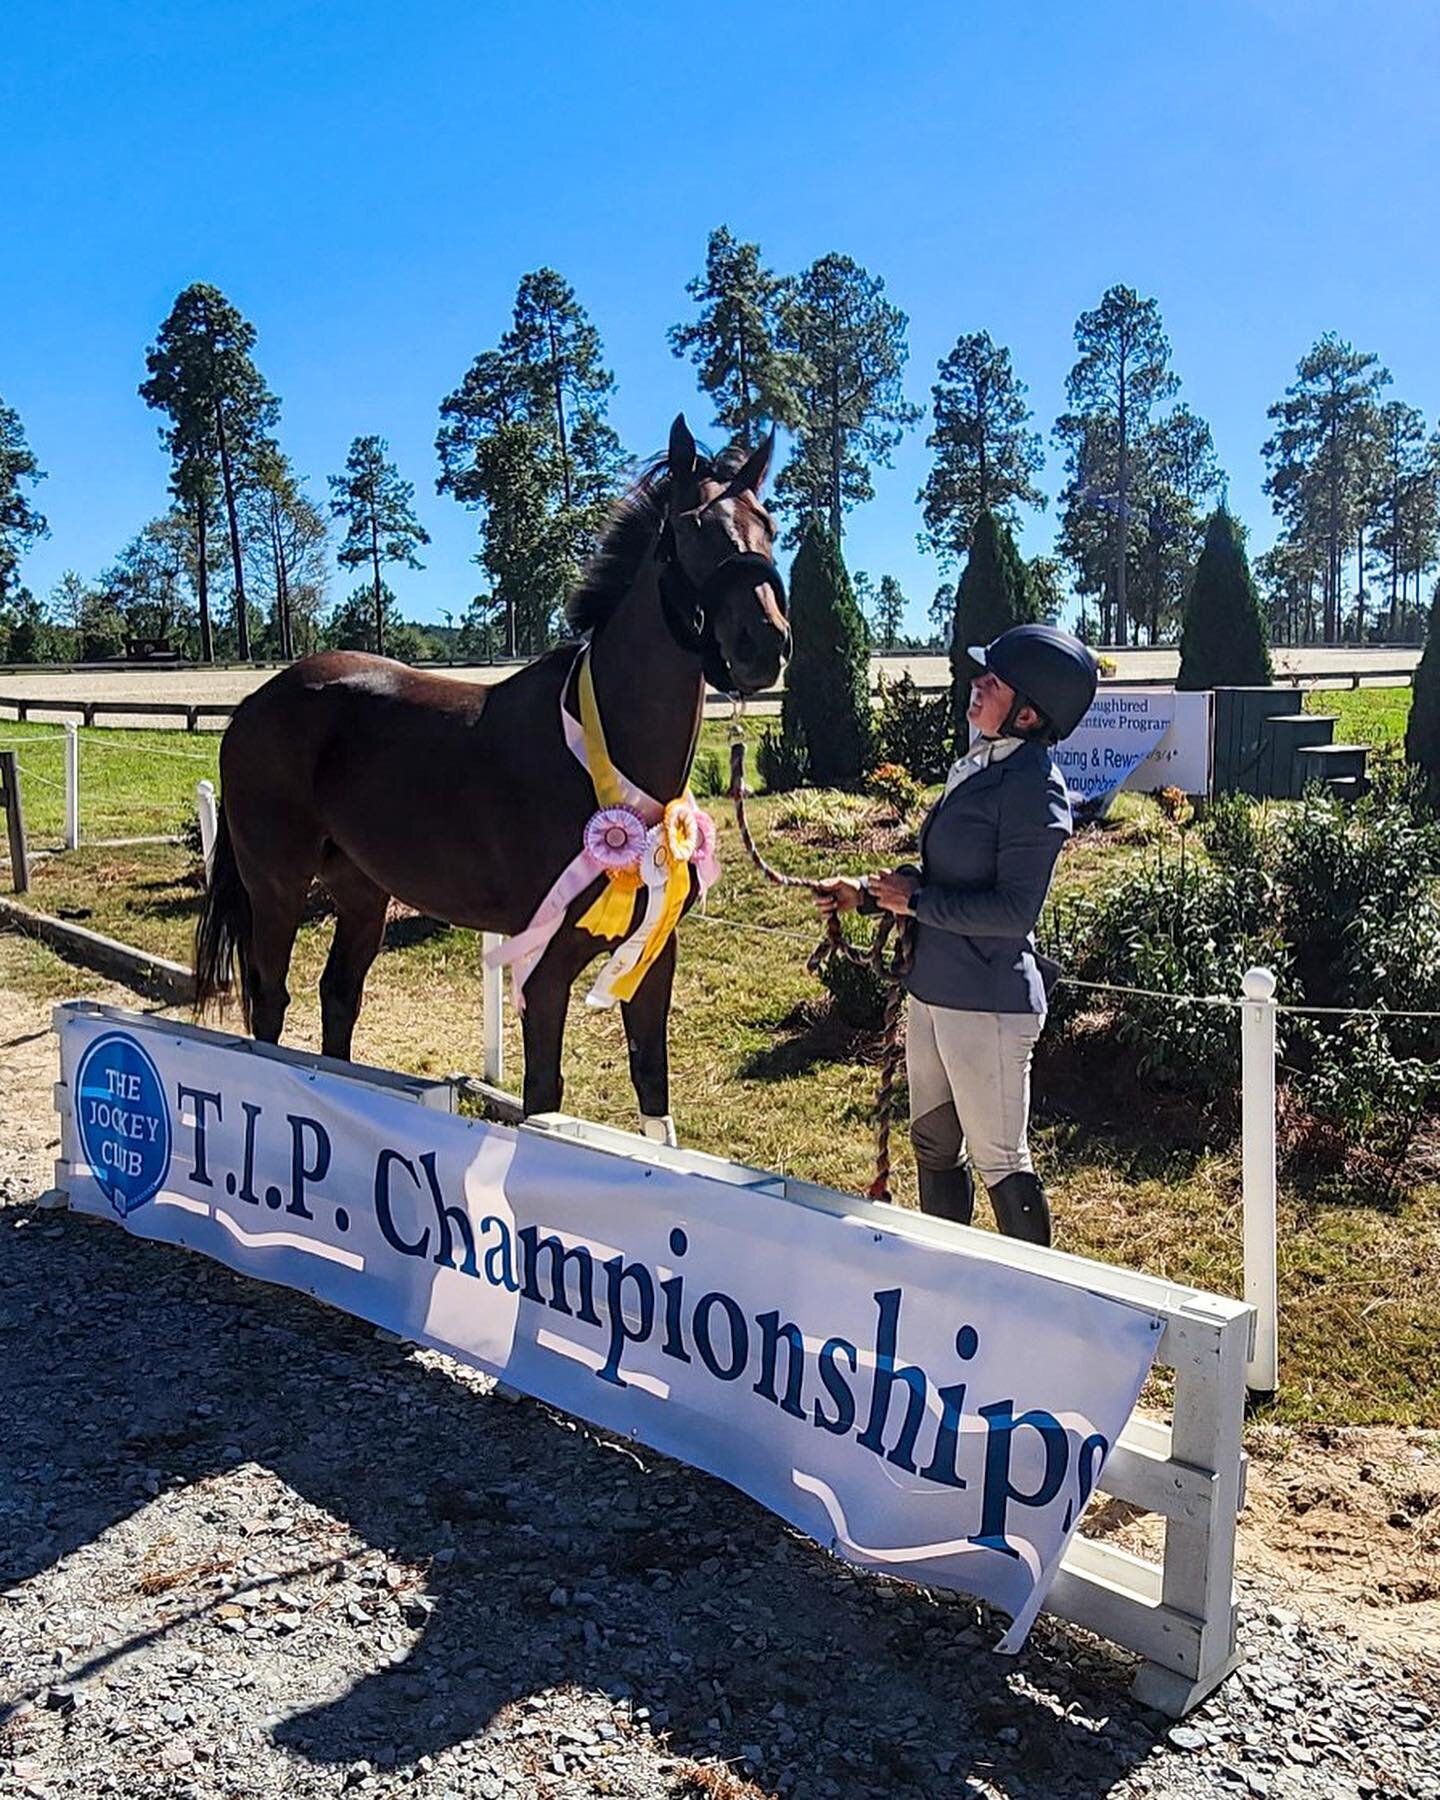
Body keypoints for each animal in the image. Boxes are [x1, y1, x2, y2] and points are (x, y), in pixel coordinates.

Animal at [194, 414, 788, 1130]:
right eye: (694, 525)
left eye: (769, 525)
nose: (765, 644)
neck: (602, 766)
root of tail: (252, 705)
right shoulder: (544, 969)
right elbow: (543, 1098)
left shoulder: (653, 958)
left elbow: (653, 1091)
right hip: (276, 888)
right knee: (271, 1003)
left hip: (362, 894)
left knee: (337, 994)